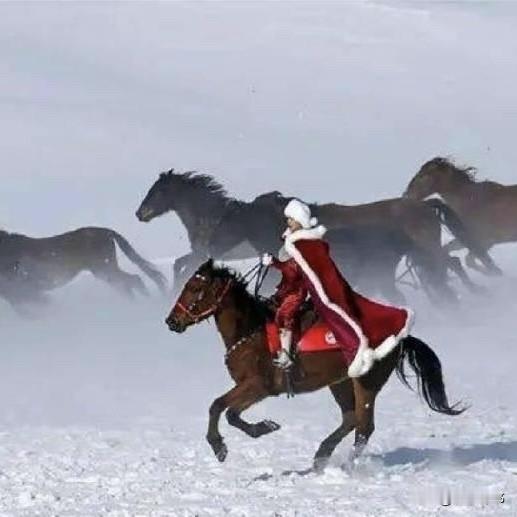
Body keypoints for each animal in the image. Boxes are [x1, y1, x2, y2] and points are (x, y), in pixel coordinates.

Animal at [0, 227, 166, 310]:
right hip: (105, 271)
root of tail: (107, 232)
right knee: (127, 284)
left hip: (104, 269)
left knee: (133, 280)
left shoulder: (24, 293)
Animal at [135, 169, 485, 298]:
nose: (140, 213)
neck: (215, 217)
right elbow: (181, 264)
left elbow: (181, 264)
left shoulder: (206, 251)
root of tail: (426, 206)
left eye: (157, 191)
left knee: (446, 268)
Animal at [165, 260, 464, 470]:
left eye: (195, 288)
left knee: (364, 427)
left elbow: (221, 408)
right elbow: (227, 411)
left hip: (366, 382)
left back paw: (347, 466)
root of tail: (400, 337)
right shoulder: (251, 387)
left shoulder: (258, 386)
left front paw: (224, 444)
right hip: (340, 382)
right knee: (351, 418)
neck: (250, 330)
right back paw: (322, 455)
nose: (172, 321)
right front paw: (259, 428)